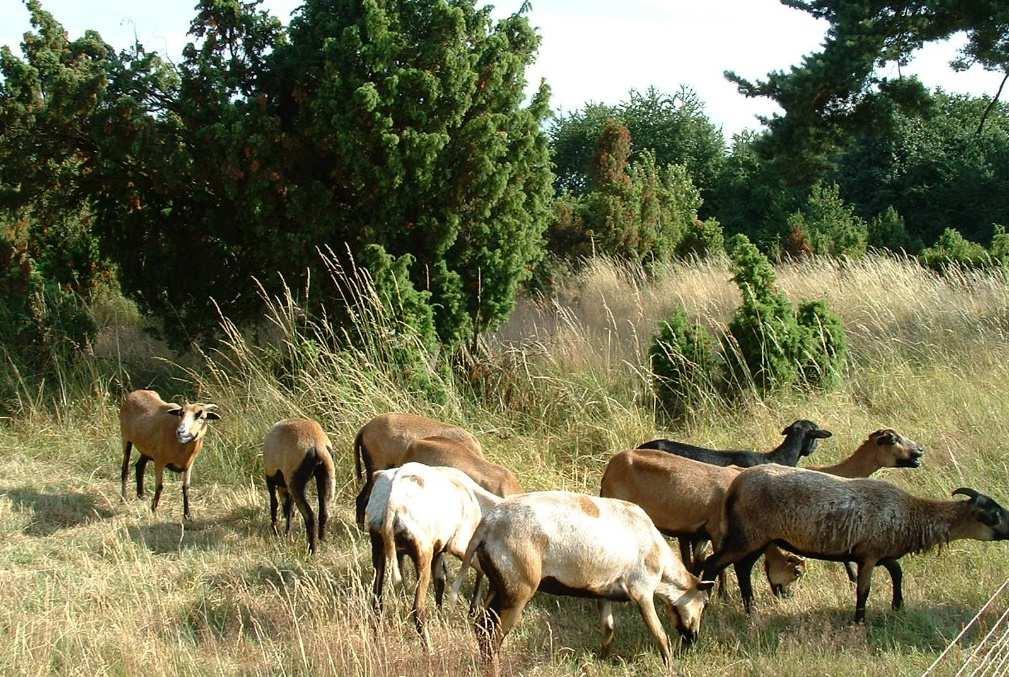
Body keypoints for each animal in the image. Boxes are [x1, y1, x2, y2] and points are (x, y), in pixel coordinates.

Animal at [118, 389, 220, 520]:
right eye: (181, 413)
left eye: (201, 416)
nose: (181, 432)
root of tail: (135, 392)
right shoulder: (159, 461)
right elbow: (159, 486)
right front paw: (153, 510)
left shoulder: (189, 465)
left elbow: (186, 488)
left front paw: (188, 515)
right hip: (126, 438)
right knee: (125, 469)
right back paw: (124, 498)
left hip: (146, 449)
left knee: (140, 466)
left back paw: (141, 496)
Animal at [262, 417, 337, 556]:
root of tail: (317, 445)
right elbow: (289, 509)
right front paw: (286, 533)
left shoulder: (271, 478)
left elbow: (275, 504)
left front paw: (276, 531)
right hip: (326, 477)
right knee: (324, 512)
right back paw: (322, 541)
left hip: (296, 484)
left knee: (310, 516)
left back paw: (312, 550)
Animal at [702, 468, 1008, 621]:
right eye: (993, 515)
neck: (912, 515)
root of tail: (736, 485)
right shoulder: (869, 555)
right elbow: (864, 590)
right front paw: (859, 620)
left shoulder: (880, 551)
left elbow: (898, 572)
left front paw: (898, 606)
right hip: (748, 535)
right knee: (712, 563)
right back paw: (705, 605)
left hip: (758, 538)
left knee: (742, 568)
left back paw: (751, 609)